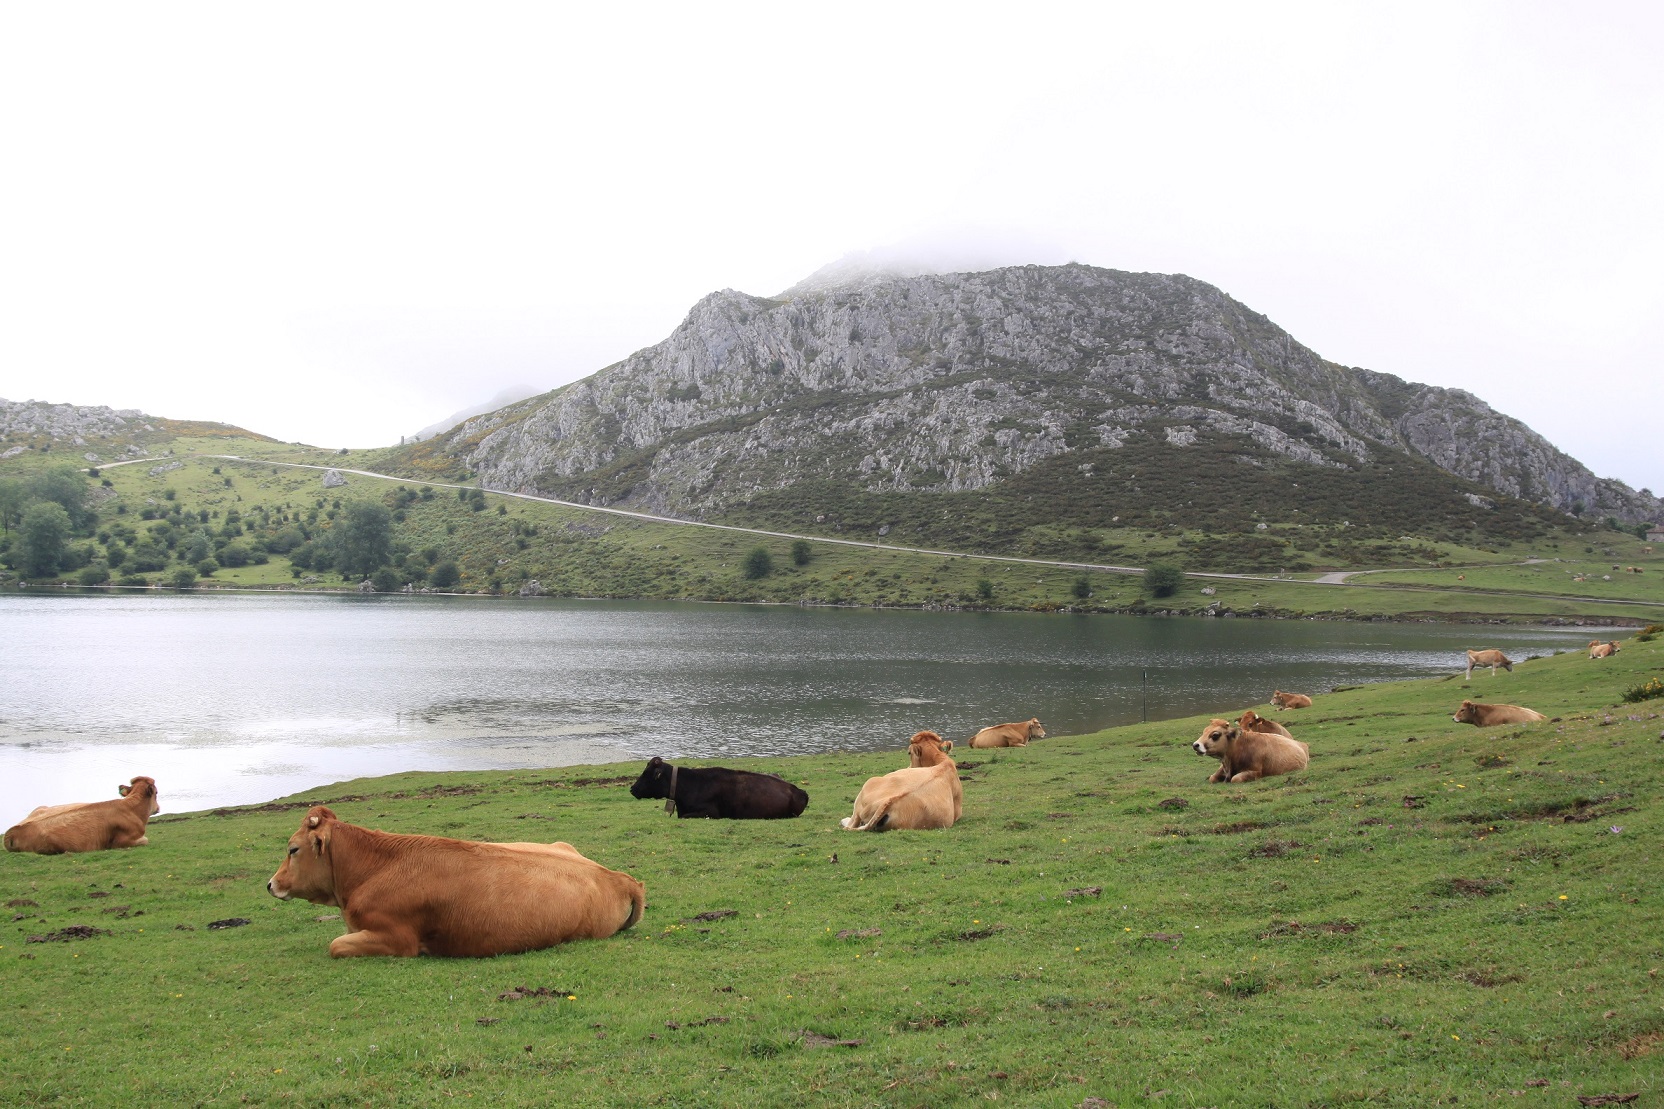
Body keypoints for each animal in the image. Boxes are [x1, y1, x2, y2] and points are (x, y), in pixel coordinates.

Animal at [3, 772, 161, 849]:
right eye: (156, 793)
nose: (158, 808)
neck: (132, 809)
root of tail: (11, 832)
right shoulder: (121, 842)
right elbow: (145, 840)